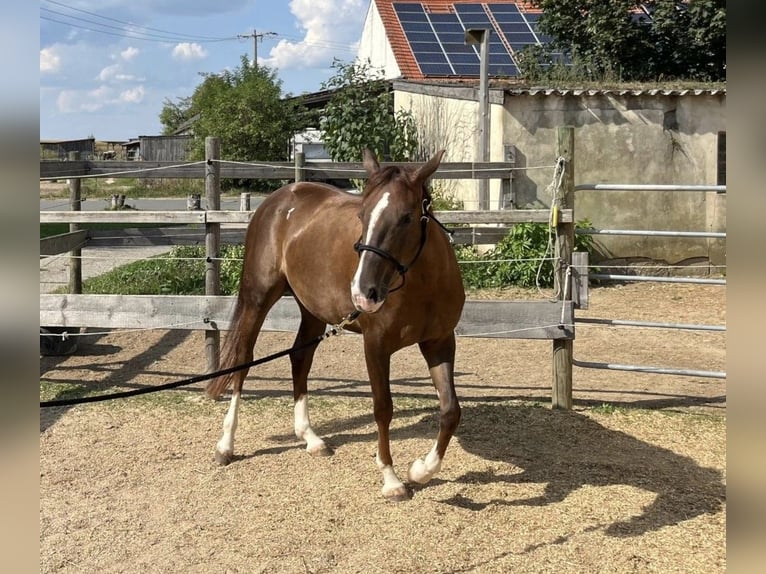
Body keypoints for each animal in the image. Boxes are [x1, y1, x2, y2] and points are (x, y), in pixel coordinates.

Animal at [207, 150, 464, 504]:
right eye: (362, 215)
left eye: (406, 218)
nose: (363, 292)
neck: (423, 286)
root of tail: (280, 197)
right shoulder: (376, 345)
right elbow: (383, 408)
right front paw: (392, 479)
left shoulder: (440, 343)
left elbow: (450, 410)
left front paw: (421, 470)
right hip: (258, 298)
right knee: (243, 361)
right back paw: (225, 445)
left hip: (313, 311)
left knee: (299, 358)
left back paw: (311, 438)